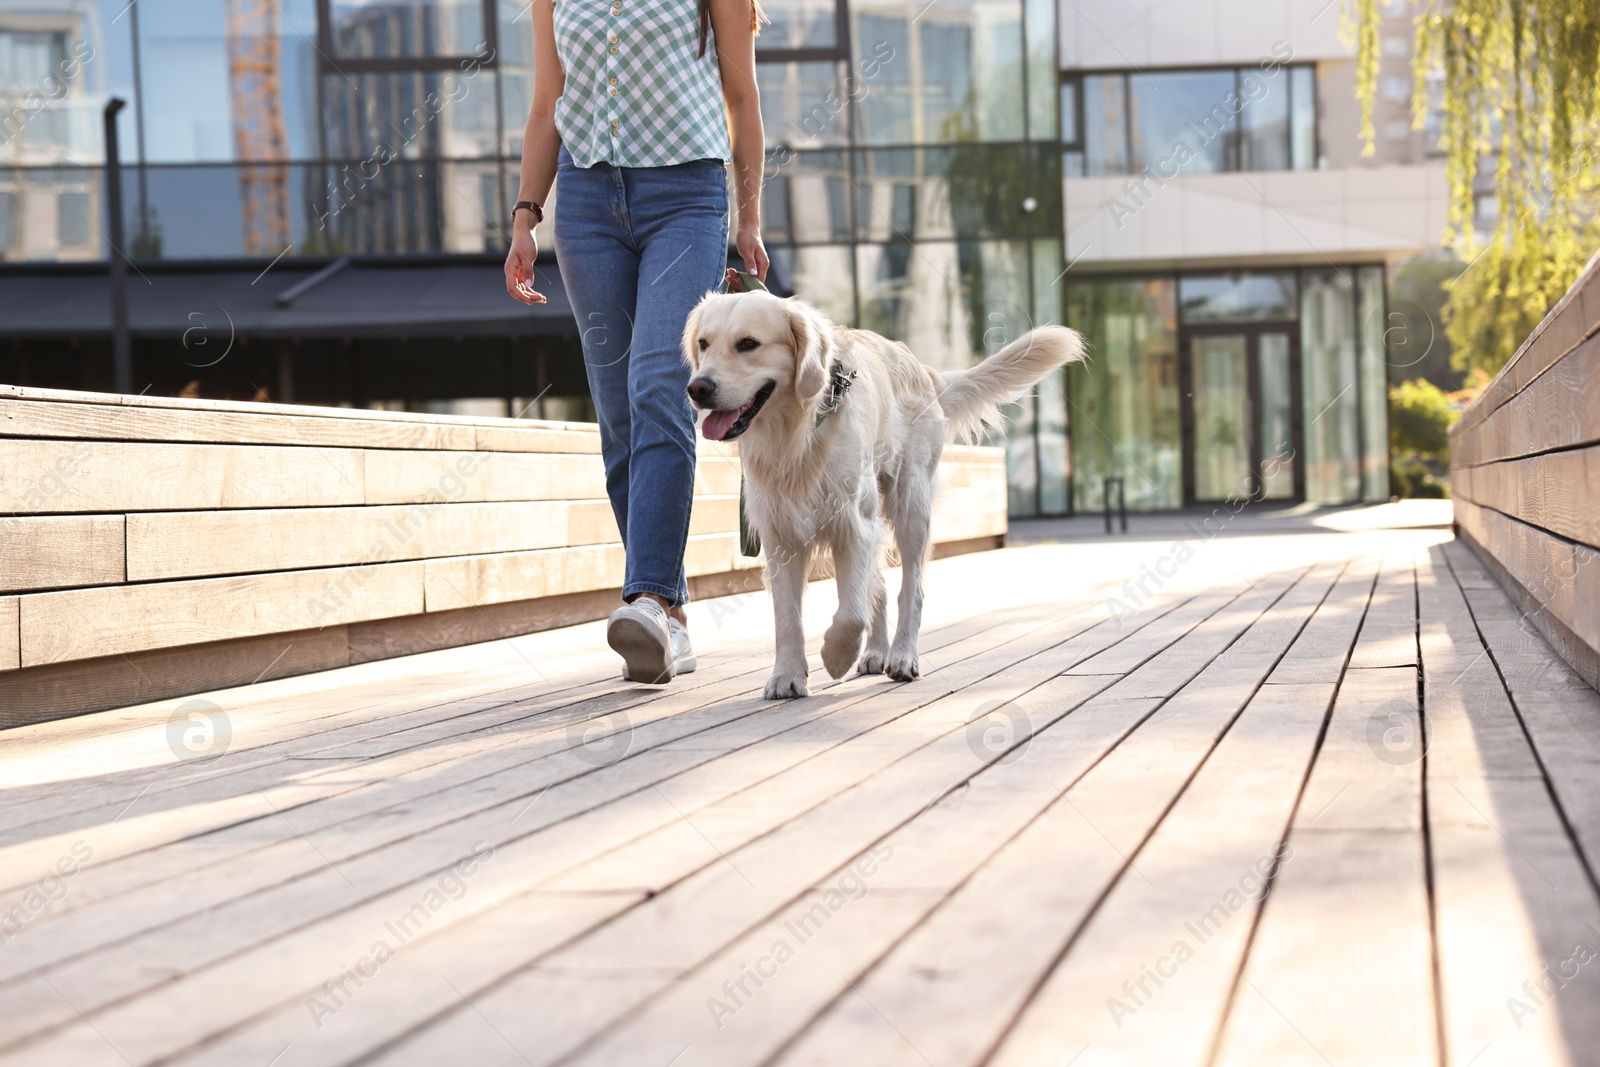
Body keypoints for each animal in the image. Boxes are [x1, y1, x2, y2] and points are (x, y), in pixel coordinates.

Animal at [681, 292, 1081, 697]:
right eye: (704, 343)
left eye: (748, 344)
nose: (697, 388)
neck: (798, 432)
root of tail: (920, 366)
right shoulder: (781, 531)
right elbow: (787, 616)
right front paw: (787, 675)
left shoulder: (853, 522)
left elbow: (851, 613)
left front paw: (836, 656)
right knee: (880, 588)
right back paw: (876, 651)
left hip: (910, 504)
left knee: (910, 590)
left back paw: (902, 656)